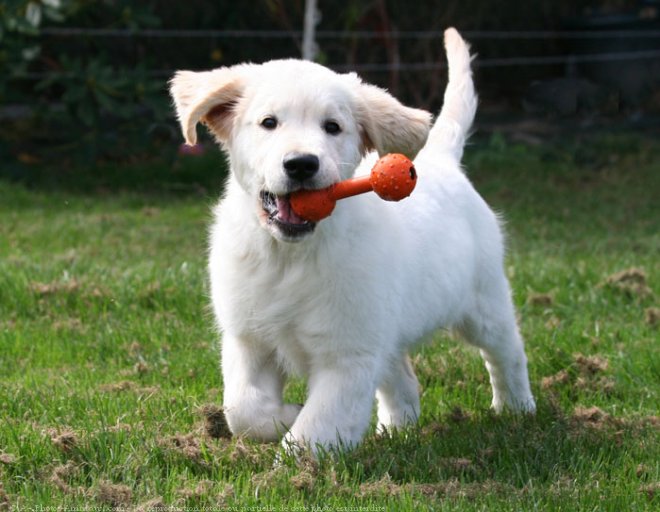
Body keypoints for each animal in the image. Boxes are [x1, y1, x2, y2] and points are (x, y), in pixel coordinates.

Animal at [170, 29, 536, 452]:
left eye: (332, 127)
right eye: (268, 123)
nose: (301, 164)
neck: (291, 257)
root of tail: (442, 160)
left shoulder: (348, 354)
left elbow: (315, 430)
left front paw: (298, 444)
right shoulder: (249, 339)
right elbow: (243, 409)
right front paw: (284, 417)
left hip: (484, 301)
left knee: (507, 352)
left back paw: (517, 409)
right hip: (386, 325)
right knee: (402, 378)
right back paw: (396, 429)